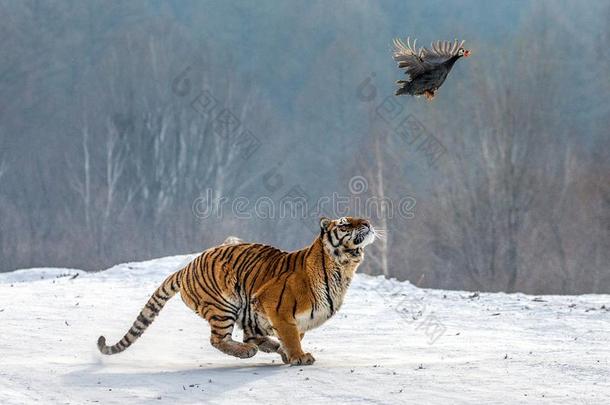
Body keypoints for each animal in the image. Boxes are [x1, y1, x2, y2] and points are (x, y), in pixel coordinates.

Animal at [97, 216, 372, 364]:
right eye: (345, 224)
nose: (368, 223)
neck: (343, 267)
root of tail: (187, 266)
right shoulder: (278, 307)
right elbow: (292, 336)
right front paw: (298, 356)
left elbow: (295, 334)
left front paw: (287, 353)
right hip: (224, 304)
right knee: (220, 339)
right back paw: (247, 352)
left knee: (250, 335)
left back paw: (268, 346)